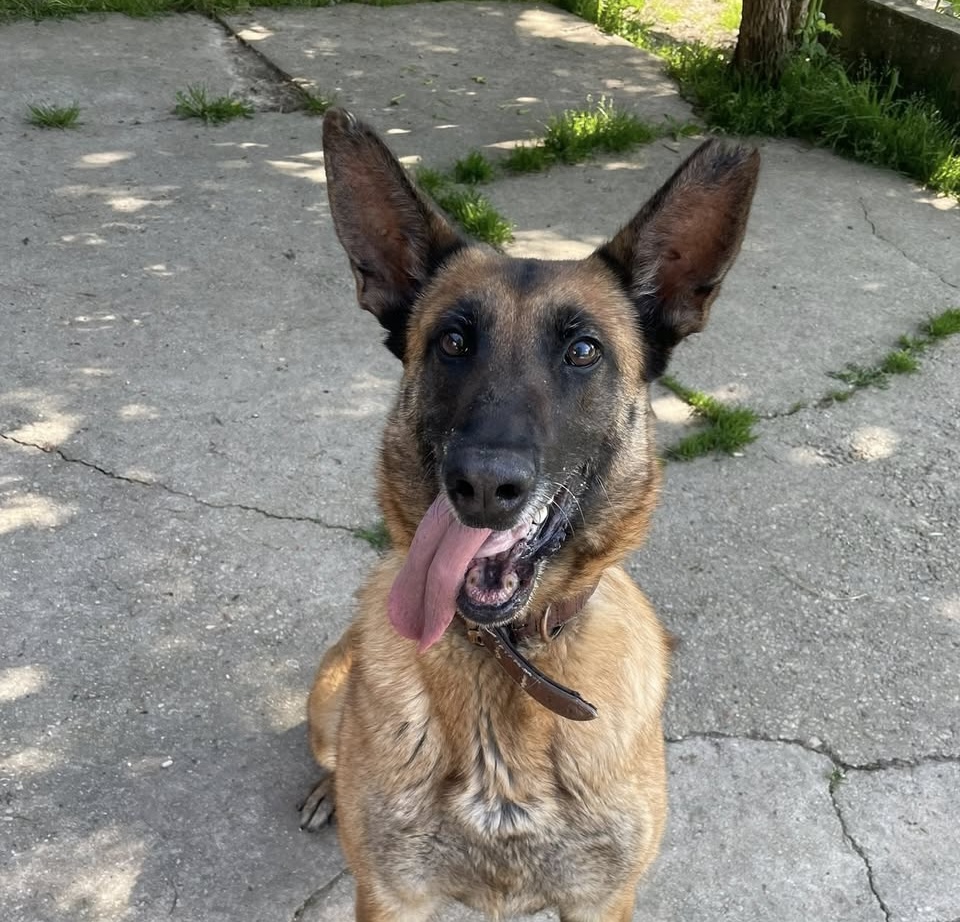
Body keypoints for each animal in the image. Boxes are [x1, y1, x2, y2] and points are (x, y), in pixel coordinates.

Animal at [299, 107, 759, 921]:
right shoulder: (389, 897)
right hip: (327, 698)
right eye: (452, 341)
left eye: (583, 351)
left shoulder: (601, 900)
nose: (482, 484)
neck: (506, 659)